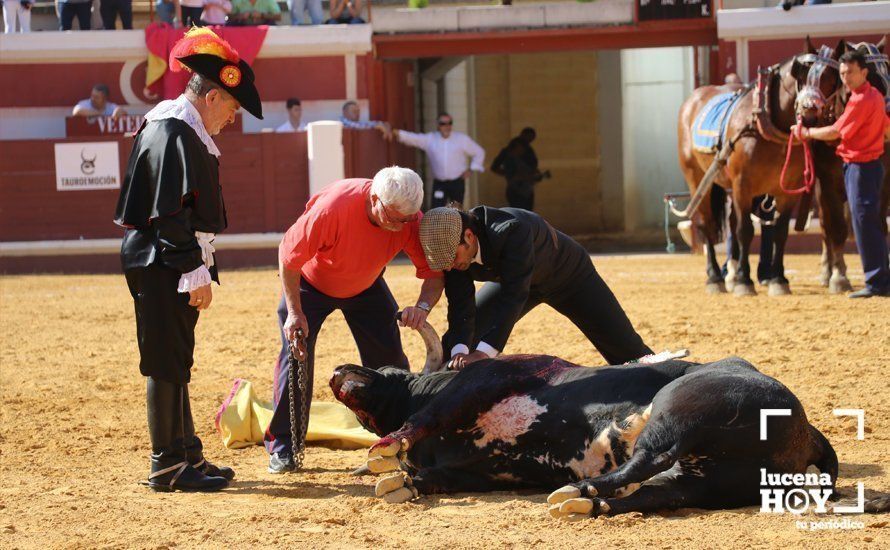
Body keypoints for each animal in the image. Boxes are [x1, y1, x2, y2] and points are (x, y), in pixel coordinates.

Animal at [330, 354, 844, 520]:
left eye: (383, 366)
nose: (337, 370)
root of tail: (809, 433)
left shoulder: (483, 379)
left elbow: (429, 416)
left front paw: (388, 451)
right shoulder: (479, 473)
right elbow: (434, 477)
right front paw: (401, 482)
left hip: (679, 406)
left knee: (650, 458)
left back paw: (578, 490)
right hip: (708, 482)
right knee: (655, 491)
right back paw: (588, 502)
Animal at [676, 37, 844, 298]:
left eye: (831, 78)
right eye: (802, 73)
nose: (808, 113)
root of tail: (695, 97)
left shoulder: (787, 189)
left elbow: (780, 232)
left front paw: (778, 279)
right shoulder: (742, 184)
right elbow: (745, 230)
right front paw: (745, 281)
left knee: (730, 223)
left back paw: (731, 274)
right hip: (698, 179)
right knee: (706, 225)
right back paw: (715, 277)